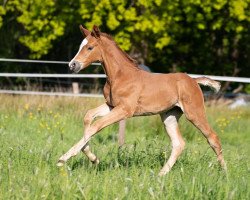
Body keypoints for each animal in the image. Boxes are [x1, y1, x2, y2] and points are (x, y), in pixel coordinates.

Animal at [58, 24, 227, 175]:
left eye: (90, 47)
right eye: (81, 46)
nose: (72, 65)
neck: (120, 76)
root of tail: (194, 80)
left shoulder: (125, 110)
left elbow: (96, 126)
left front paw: (64, 158)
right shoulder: (112, 106)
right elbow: (88, 117)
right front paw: (93, 158)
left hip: (194, 113)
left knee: (213, 138)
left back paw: (225, 173)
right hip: (169, 115)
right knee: (179, 143)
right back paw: (161, 174)